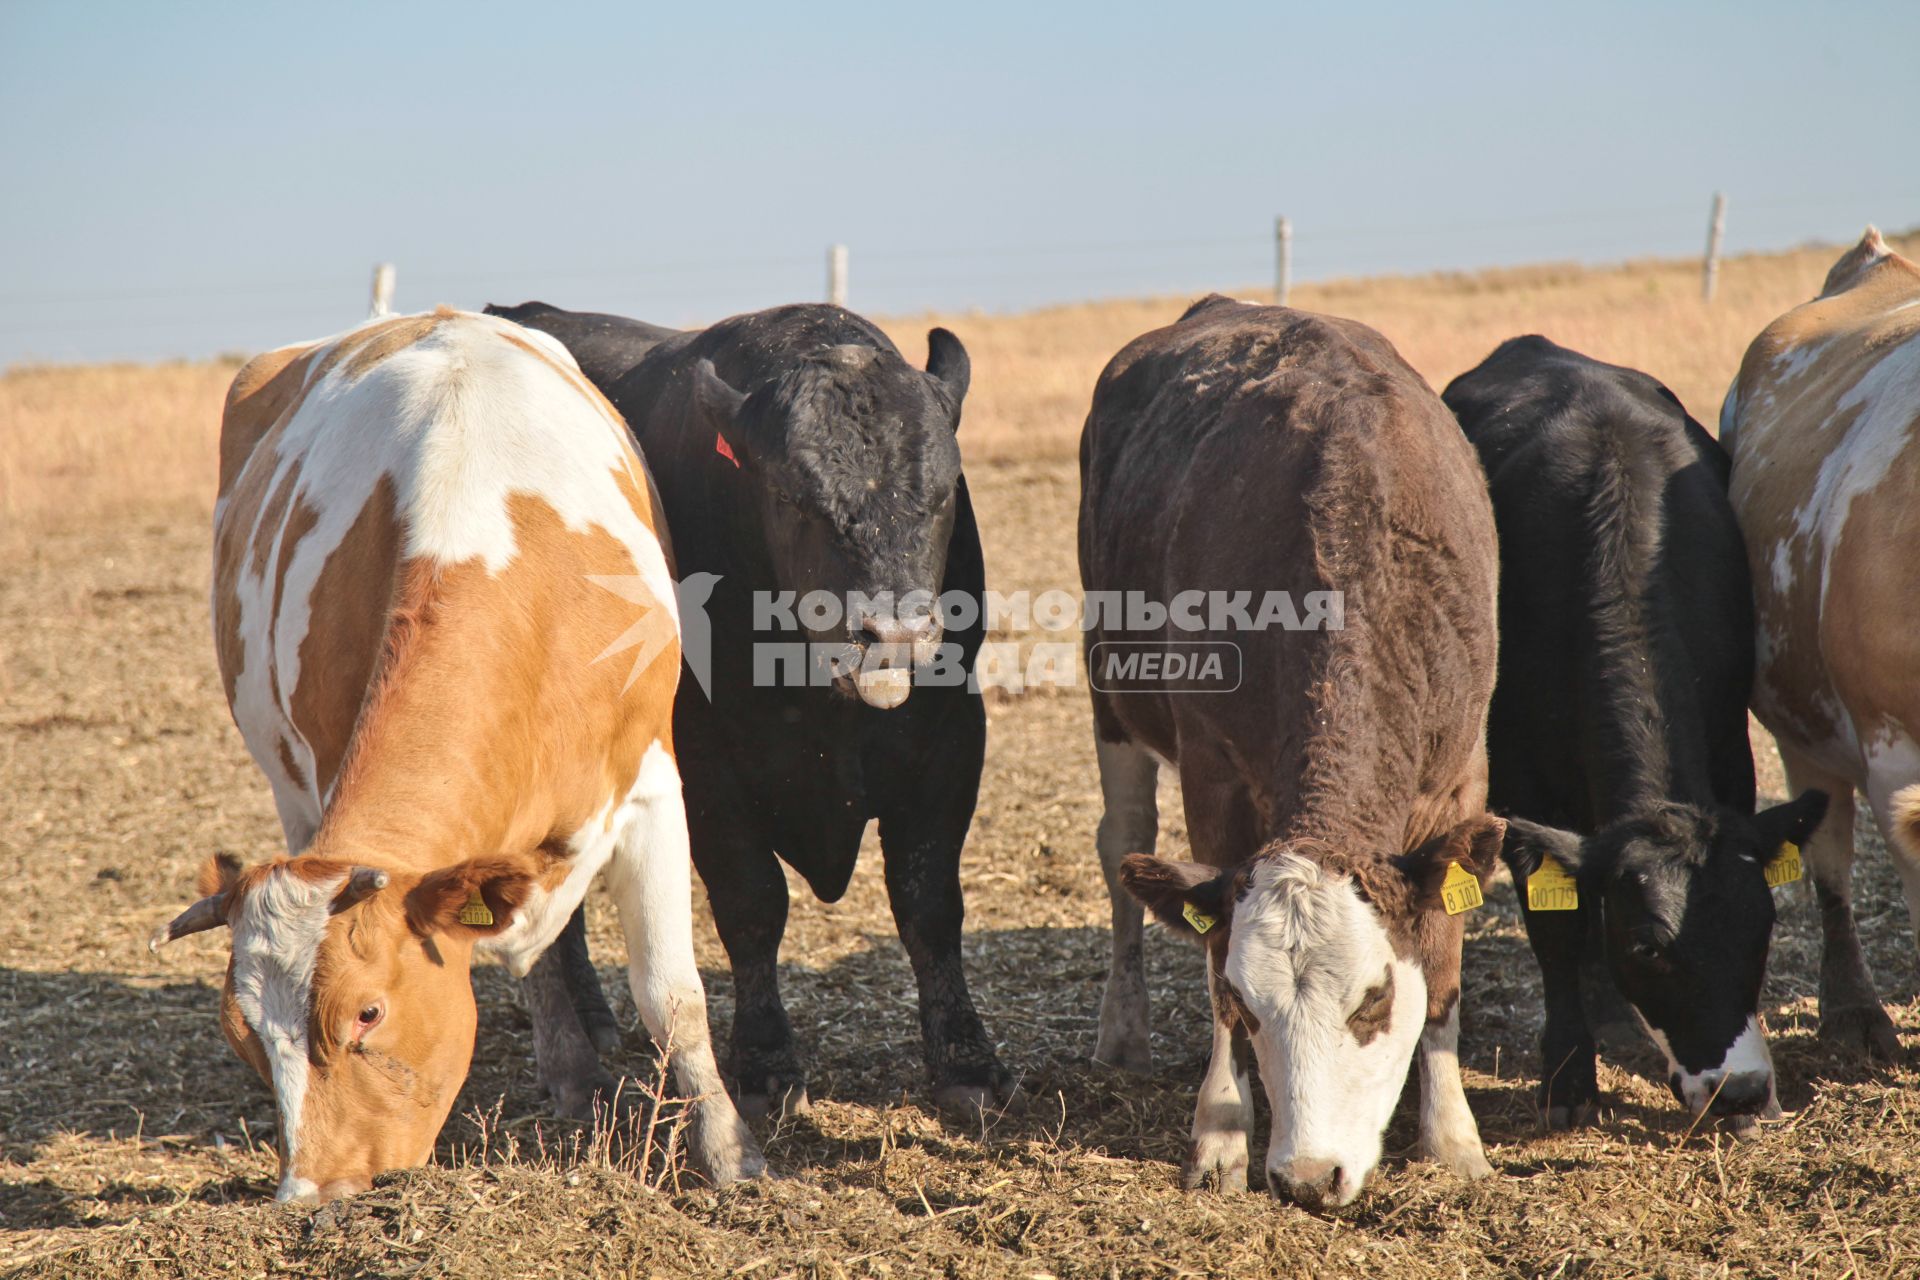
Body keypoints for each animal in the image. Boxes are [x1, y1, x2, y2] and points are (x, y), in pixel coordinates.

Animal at [151, 307, 764, 1205]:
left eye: (367, 1012)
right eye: (244, 1034)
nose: (305, 1195)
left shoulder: (653, 791)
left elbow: (673, 995)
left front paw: (729, 1154)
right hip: (294, 792)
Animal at [487, 301, 1013, 1120]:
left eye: (944, 492)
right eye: (796, 499)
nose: (895, 633)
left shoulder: (950, 741)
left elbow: (928, 903)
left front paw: (966, 1060)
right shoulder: (706, 764)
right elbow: (752, 904)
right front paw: (765, 1061)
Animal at [1082, 295, 1512, 1205]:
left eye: (1374, 999)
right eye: (1251, 1004)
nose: (1309, 1178)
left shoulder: (1461, 774)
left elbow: (1446, 967)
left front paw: (1453, 1136)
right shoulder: (1213, 775)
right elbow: (1210, 953)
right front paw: (1219, 1132)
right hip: (1111, 698)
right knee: (1121, 846)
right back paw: (1122, 1031)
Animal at [1443, 337, 1827, 1128]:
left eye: (1762, 927)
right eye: (1650, 950)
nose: (1741, 1092)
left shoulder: (1729, 755)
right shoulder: (1523, 789)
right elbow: (1556, 929)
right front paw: (1567, 1077)